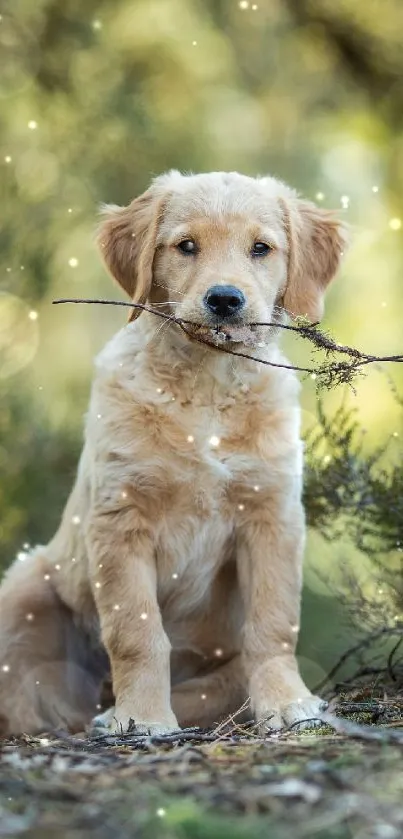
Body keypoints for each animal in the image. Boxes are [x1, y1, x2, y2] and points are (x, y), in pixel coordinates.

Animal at [0, 171, 348, 736]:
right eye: (186, 246)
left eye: (261, 248)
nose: (225, 299)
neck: (207, 384)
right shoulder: (120, 518)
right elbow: (136, 630)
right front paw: (141, 717)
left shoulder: (272, 515)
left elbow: (273, 623)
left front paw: (287, 703)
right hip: (25, 585)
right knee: (33, 695)